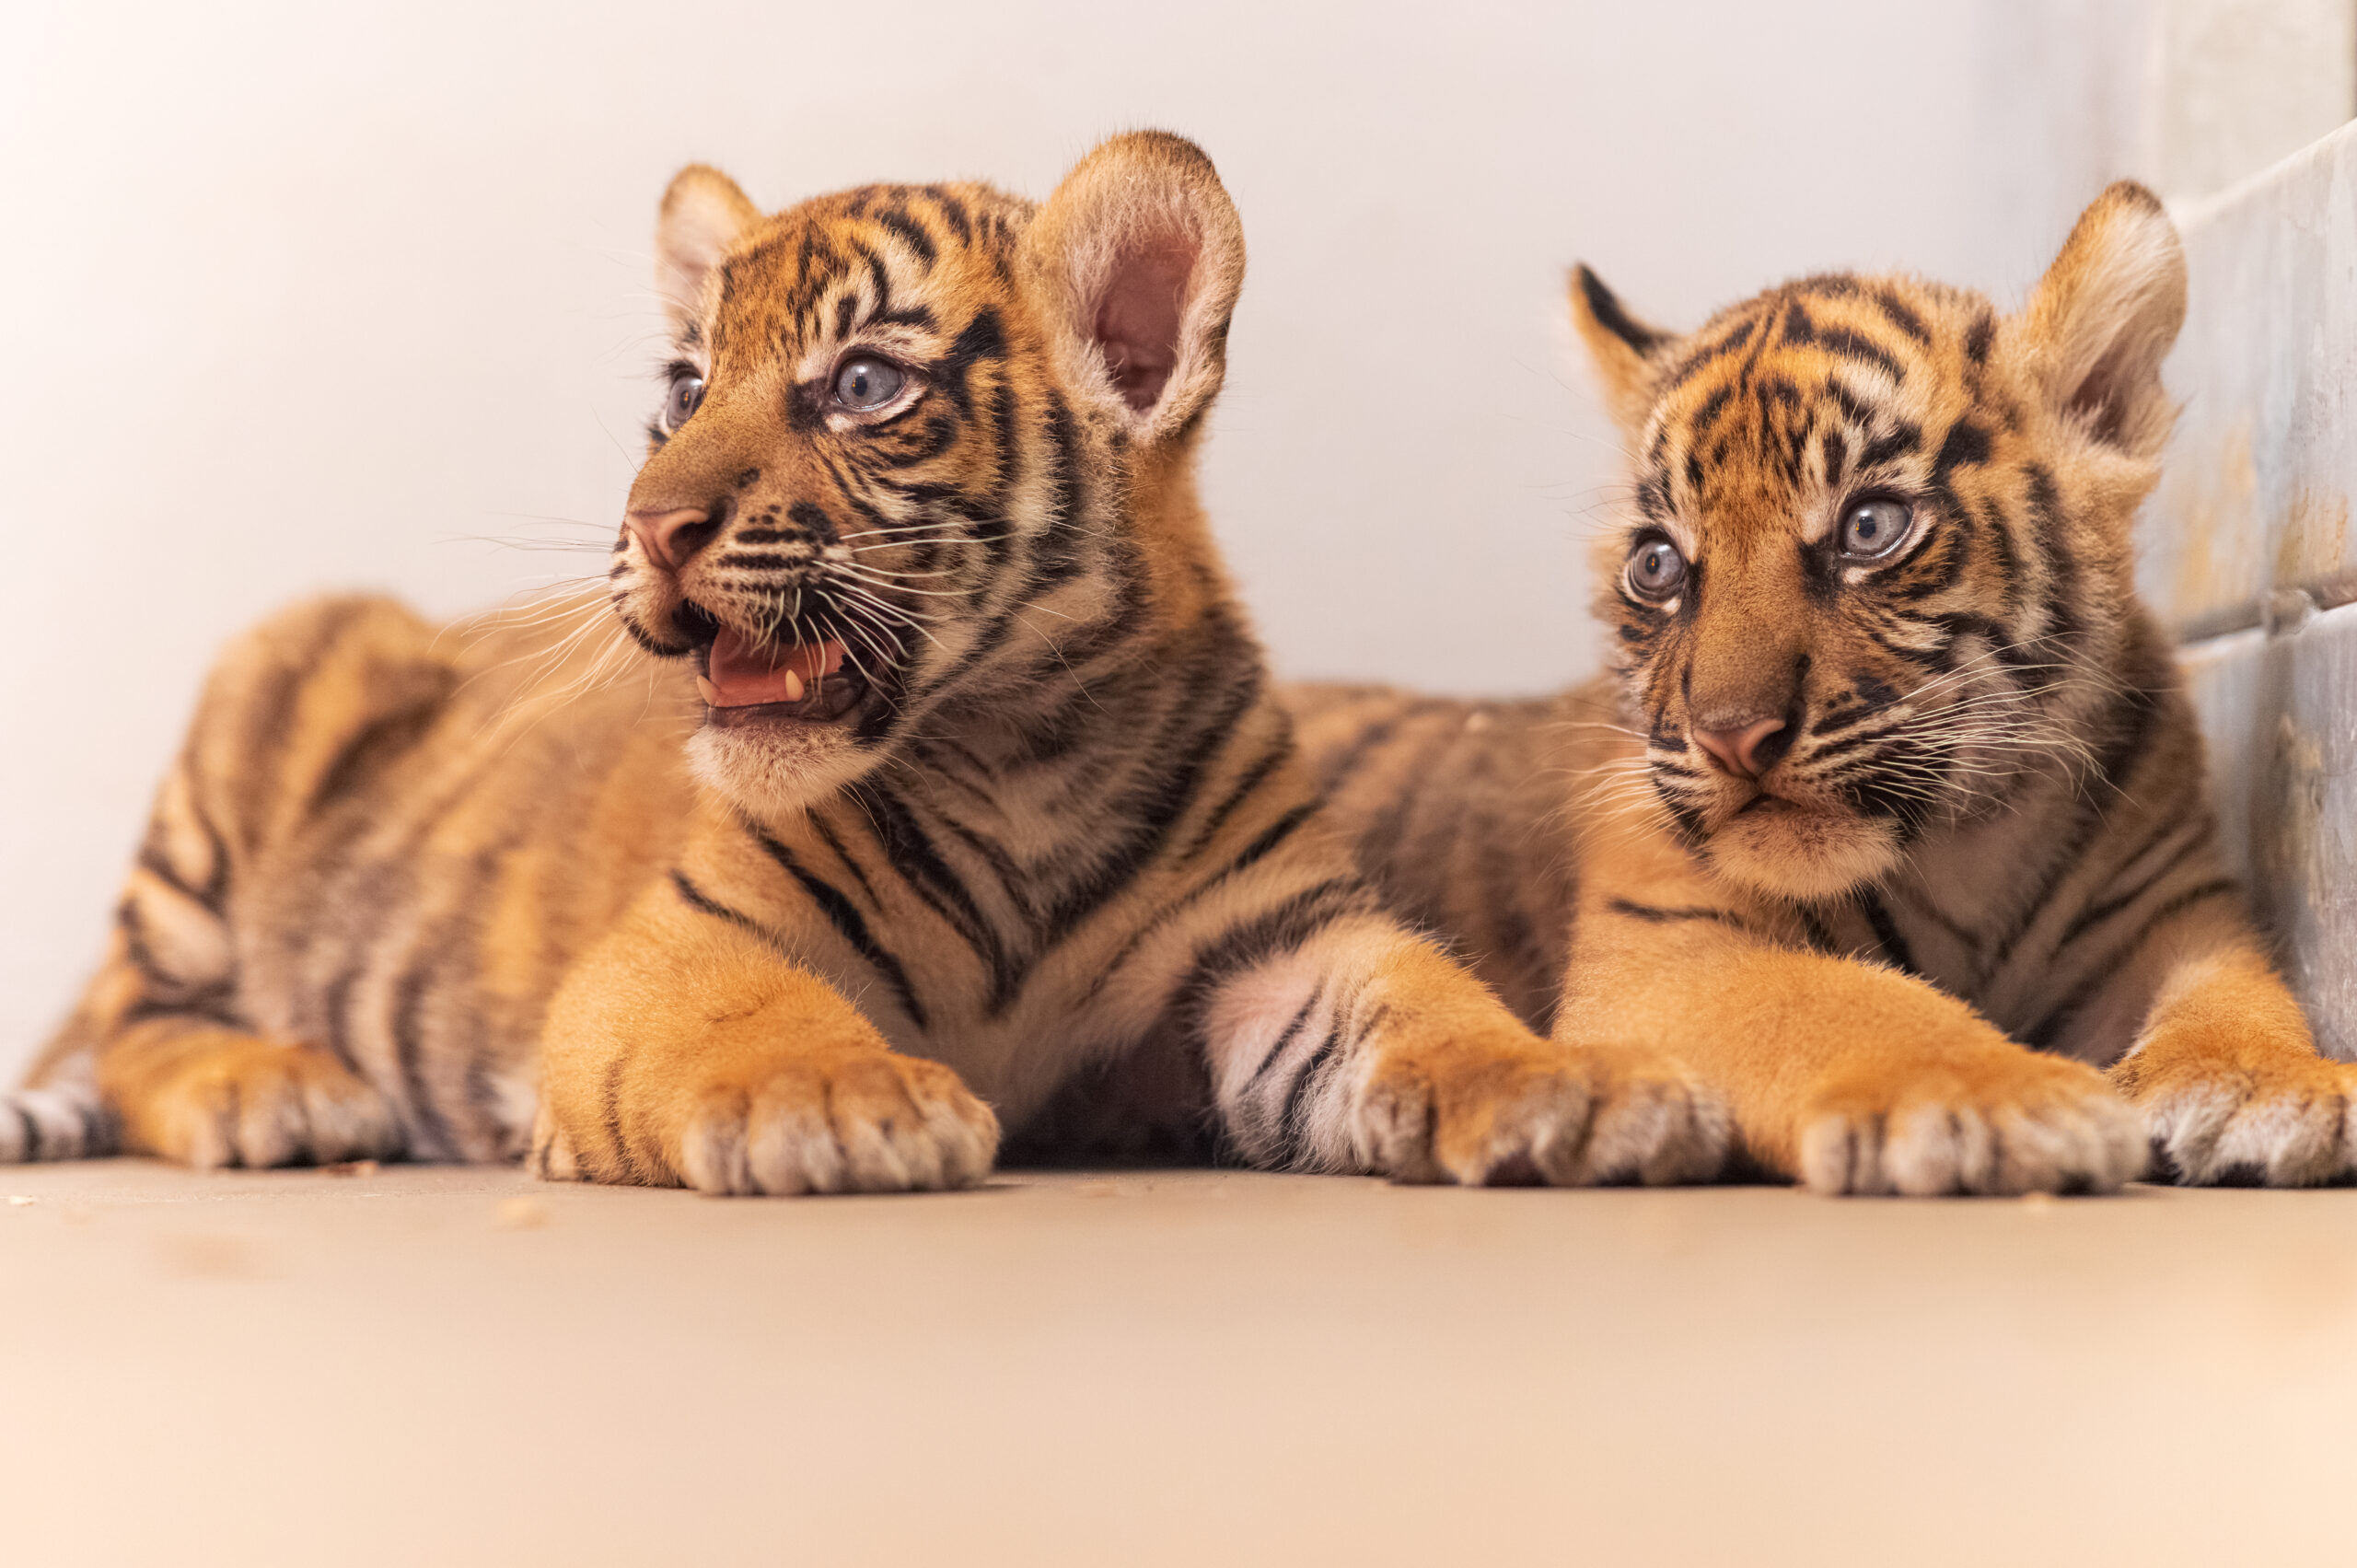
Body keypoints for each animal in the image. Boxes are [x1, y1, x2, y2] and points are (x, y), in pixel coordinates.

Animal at [6, 131, 1730, 1194]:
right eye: (682, 389)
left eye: (862, 385)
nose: (653, 525)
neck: (1027, 749)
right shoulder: (676, 941)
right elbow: (756, 1019)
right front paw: (849, 1101)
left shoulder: (1282, 942)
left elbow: (1441, 1015)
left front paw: (1587, 1087)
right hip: (279, 674)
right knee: (122, 1014)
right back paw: (276, 1088)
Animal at [1289, 181, 2354, 1195]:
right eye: (1658, 565)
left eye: (1869, 527)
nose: (1731, 736)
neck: (1966, 843)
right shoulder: (1668, 950)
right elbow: (1856, 1001)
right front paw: (2000, 1097)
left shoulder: (2173, 909)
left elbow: (2238, 990)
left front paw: (2276, 1084)